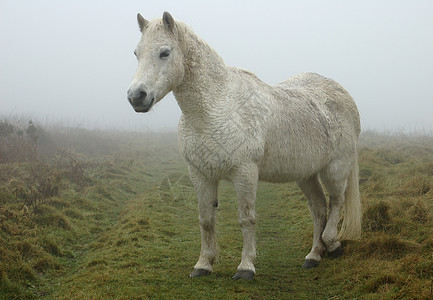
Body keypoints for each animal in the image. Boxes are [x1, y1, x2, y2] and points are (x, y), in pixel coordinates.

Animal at [127, 11, 362, 278]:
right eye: (136, 53)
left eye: (165, 52)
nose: (136, 97)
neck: (215, 107)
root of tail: (342, 93)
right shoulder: (200, 174)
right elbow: (206, 220)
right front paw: (203, 264)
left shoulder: (245, 173)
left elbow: (246, 219)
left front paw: (246, 267)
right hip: (306, 175)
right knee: (319, 208)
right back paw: (314, 255)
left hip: (335, 169)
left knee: (336, 203)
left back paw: (332, 244)